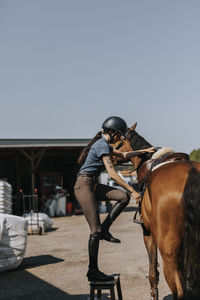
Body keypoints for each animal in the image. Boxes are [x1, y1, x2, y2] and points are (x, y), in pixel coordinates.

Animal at [111, 122, 200, 300]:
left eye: (113, 140)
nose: (108, 156)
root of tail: (192, 174)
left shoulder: (148, 234)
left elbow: (153, 274)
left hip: (169, 253)